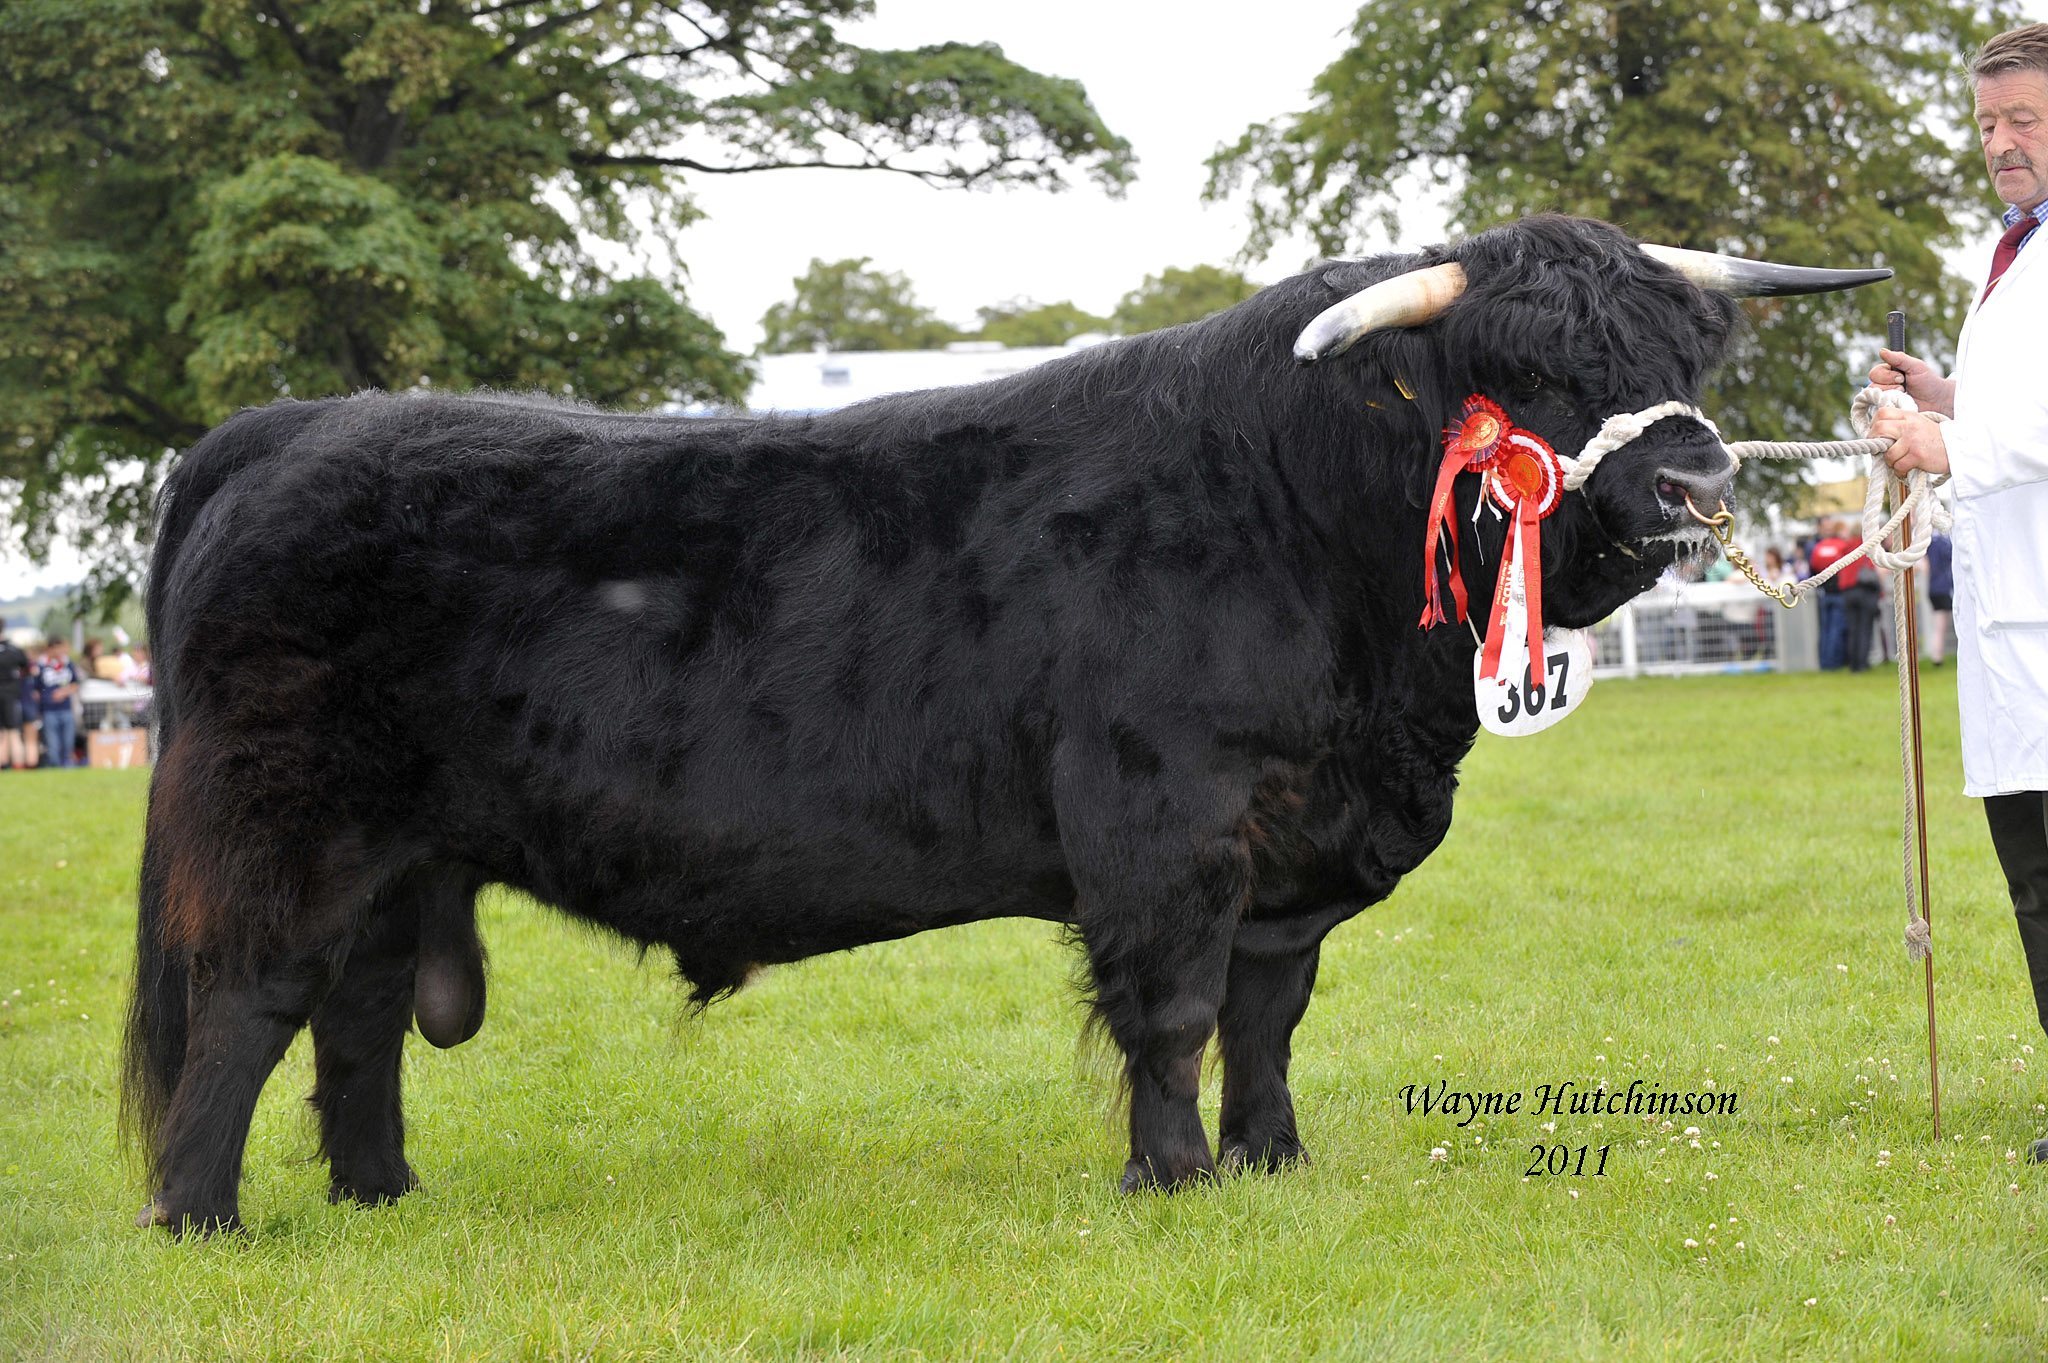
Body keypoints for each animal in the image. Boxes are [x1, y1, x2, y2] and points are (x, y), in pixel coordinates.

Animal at [119, 214, 1875, 1227]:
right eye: (1525, 368)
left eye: (1684, 348)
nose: (1699, 481)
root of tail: (302, 425)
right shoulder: (1164, 823)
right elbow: (1173, 1009)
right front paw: (1172, 1179)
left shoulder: (1290, 841)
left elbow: (1268, 1014)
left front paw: (1273, 1160)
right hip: (292, 829)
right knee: (248, 1008)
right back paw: (203, 1215)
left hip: (401, 858)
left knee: (354, 1024)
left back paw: (382, 1196)